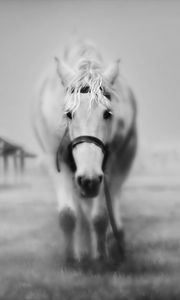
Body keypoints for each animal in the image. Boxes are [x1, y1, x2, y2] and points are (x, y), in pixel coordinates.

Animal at [33, 39, 137, 268]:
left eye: (107, 113)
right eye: (68, 114)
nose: (89, 180)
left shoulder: (110, 165)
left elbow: (100, 216)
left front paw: (101, 258)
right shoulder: (56, 161)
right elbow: (68, 215)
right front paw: (71, 259)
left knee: (113, 201)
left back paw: (116, 241)